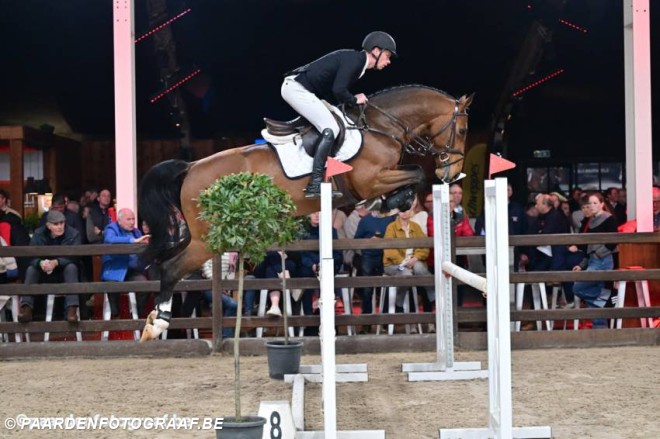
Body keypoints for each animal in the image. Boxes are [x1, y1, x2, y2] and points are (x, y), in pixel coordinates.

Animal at [138, 84, 473, 340]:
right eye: (463, 129)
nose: (450, 174)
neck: (381, 128)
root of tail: (191, 166)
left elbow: (414, 174)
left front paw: (389, 203)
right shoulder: (371, 180)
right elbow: (416, 173)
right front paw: (391, 202)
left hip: (199, 235)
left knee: (166, 260)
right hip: (206, 240)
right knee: (171, 268)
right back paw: (158, 324)